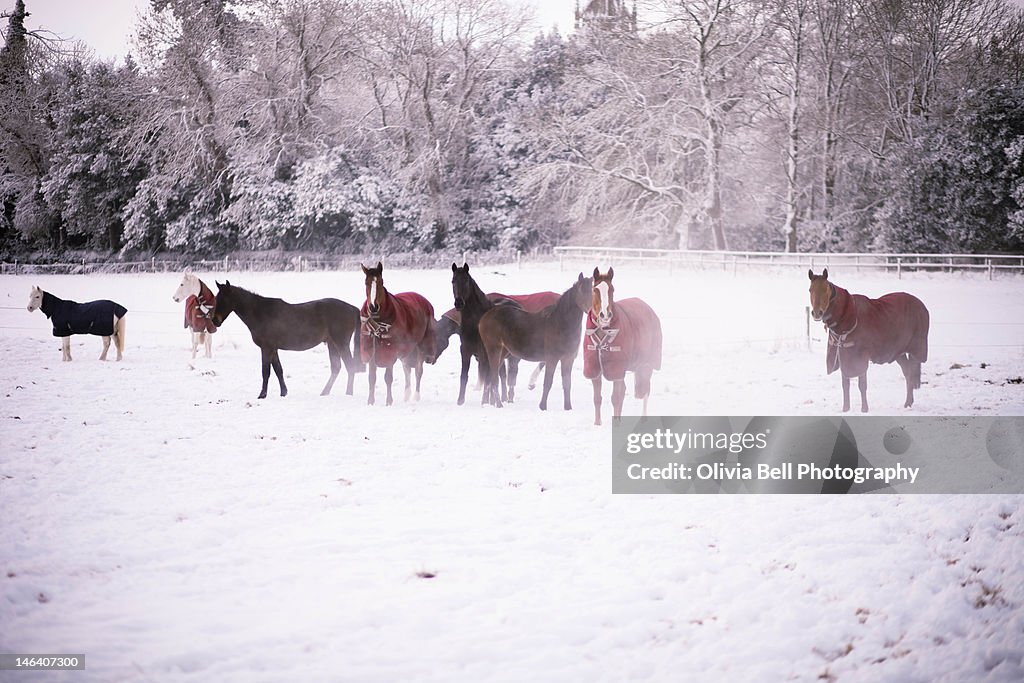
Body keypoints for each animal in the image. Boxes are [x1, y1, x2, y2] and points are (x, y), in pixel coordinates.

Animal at [209, 282, 362, 401]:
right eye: (216, 299)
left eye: (223, 300)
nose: (214, 321)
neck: (260, 313)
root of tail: (353, 308)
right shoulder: (273, 349)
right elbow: (278, 370)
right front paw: (284, 392)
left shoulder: (266, 348)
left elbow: (266, 371)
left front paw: (262, 395)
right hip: (332, 344)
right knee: (336, 367)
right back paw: (325, 393)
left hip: (341, 343)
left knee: (350, 366)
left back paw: (348, 393)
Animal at [360, 262, 436, 405]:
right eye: (366, 282)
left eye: (381, 282)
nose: (373, 307)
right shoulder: (372, 348)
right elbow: (372, 377)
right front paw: (370, 401)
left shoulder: (391, 350)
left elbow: (388, 377)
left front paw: (389, 402)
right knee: (407, 370)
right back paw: (406, 395)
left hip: (420, 346)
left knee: (418, 371)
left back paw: (416, 396)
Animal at [479, 272, 593, 411]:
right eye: (581, 290)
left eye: (593, 290)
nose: (592, 311)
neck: (560, 324)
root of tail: (486, 315)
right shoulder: (552, 358)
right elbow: (548, 382)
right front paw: (542, 406)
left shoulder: (568, 359)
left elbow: (567, 384)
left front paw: (568, 408)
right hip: (494, 350)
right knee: (494, 377)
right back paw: (499, 405)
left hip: (503, 352)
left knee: (490, 377)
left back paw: (486, 403)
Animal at [585, 268, 663, 423]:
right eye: (595, 290)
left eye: (612, 289)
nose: (605, 315)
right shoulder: (594, 368)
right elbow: (597, 398)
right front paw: (597, 423)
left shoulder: (617, 370)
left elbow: (616, 398)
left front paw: (616, 424)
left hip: (647, 364)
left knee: (645, 390)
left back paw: (643, 418)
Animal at [806, 270, 929, 413]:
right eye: (810, 289)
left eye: (825, 289)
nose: (817, 313)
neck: (849, 318)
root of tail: (921, 304)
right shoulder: (843, 354)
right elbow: (845, 384)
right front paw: (846, 409)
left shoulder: (860, 357)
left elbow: (862, 385)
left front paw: (864, 409)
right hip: (899, 352)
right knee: (908, 372)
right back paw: (908, 403)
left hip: (914, 349)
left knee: (911, 372)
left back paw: (908, 402)